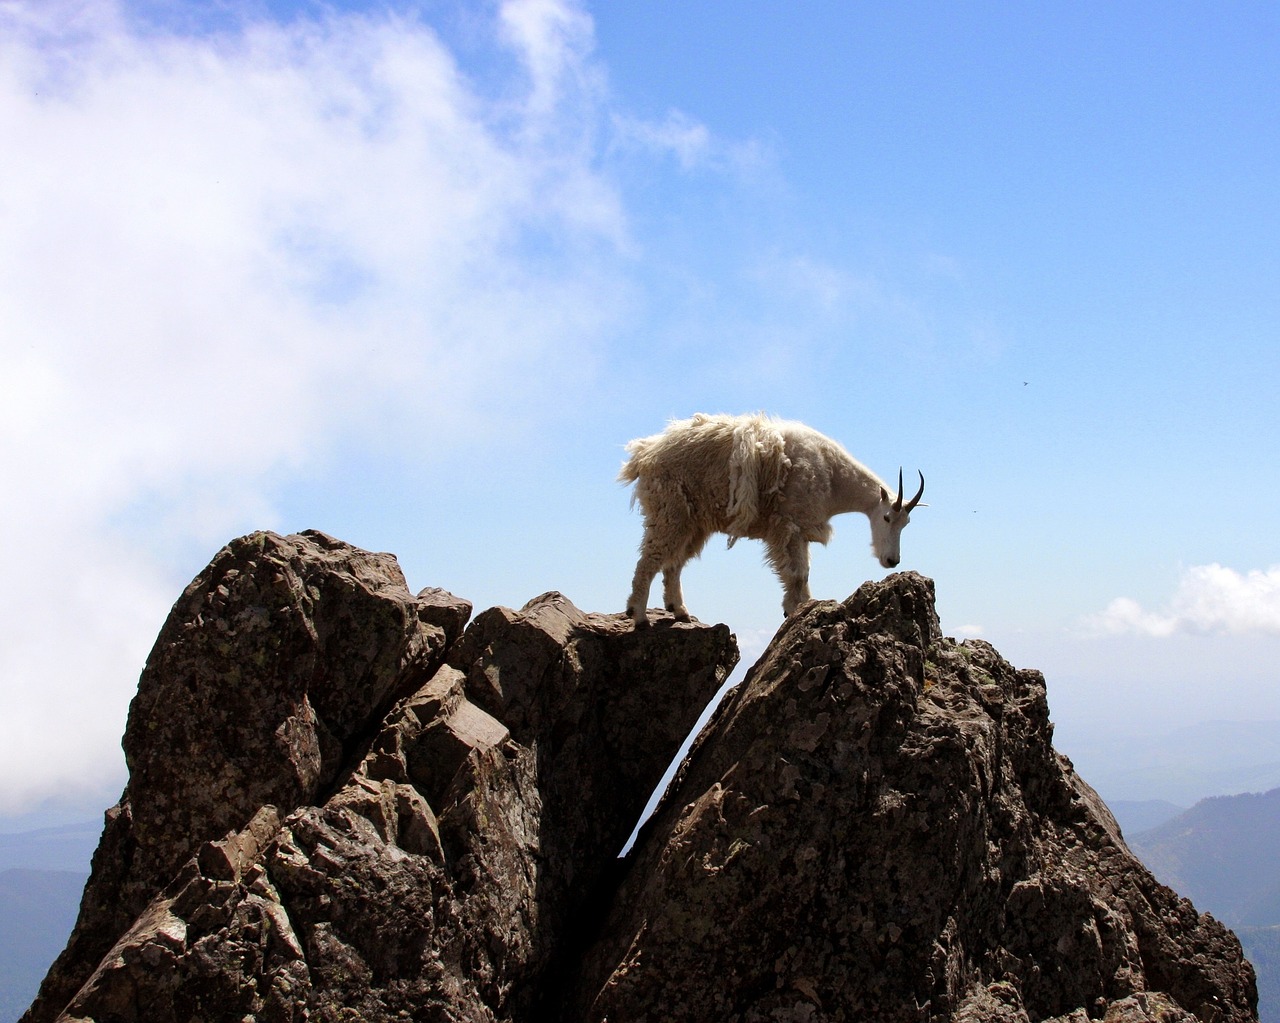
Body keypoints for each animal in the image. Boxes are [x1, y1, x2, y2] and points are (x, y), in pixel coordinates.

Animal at [616, 414, 921, 624]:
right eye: (886, 517)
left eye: (906, 523)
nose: (892, 561)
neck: (833, 477)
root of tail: (644, 455)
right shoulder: (788, 526)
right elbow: (796, 573)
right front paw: (794, 611)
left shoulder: (801, 530)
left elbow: (803, 573)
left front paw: (803, 606)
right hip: (670, 512)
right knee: (650, 560)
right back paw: (639, 616)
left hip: (694, 522)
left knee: (674, 563)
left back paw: (678, 611)